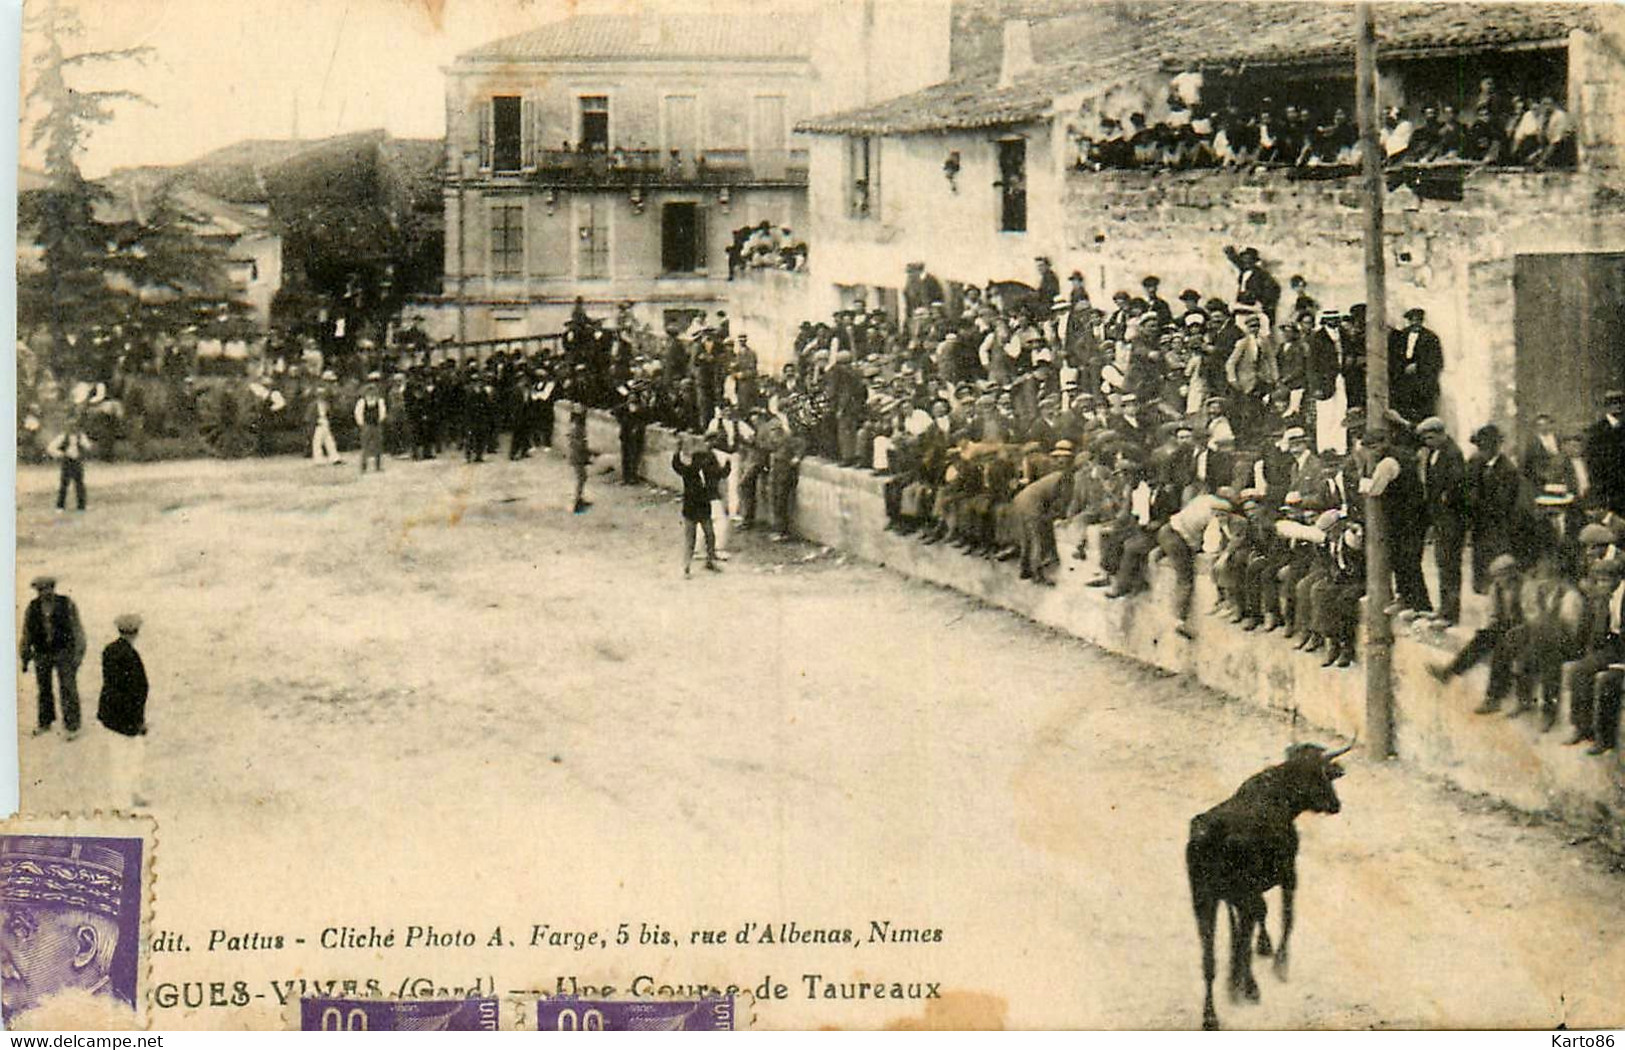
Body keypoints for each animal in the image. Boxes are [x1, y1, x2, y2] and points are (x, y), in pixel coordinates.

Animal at [1189, 744, 1352, 1033]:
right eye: (1322, 776)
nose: (1336, 804)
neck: (1280, 795)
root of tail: (1210, 835)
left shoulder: (1234, 897)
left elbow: (1245, 928)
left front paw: (1258, 954)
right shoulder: (1288, 875)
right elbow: (1286, 918)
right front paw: (1279, 964)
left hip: (1203, 899)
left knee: (1209, 957)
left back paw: (1212, 1014)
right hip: (1234, 894)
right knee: (1244, 934)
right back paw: (1245, 988)